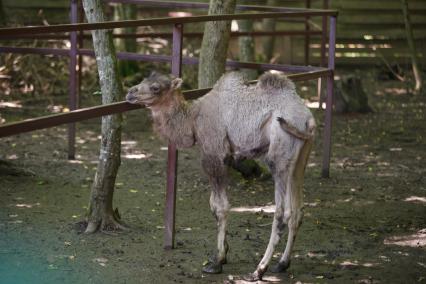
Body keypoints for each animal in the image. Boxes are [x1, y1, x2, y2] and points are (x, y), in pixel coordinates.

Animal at [125, 70, 314, 280]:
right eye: (144, 79)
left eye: (155, 87)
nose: (130, 92)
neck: (193, 120)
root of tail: (307, 119)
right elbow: (213, 205)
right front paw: (223, 252)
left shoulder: (214, 154)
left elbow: (220, 207)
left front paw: (217, 261)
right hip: (300, 156)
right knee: (297, 209)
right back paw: (282, 264)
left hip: (279, 152)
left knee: (282, 212)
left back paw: (259, 269)